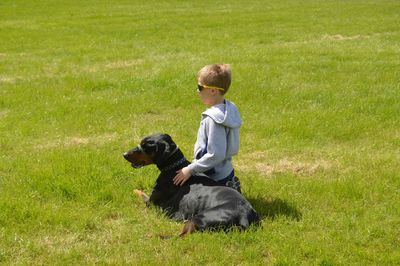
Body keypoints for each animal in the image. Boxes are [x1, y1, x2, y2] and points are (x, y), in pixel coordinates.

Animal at [122, 134, 260, 236]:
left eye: (145, 146)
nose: (124, 154)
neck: (174, 167)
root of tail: (244, 214)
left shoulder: (151, 202)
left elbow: (141, 193)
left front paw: (134, 190)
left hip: (200, 217)